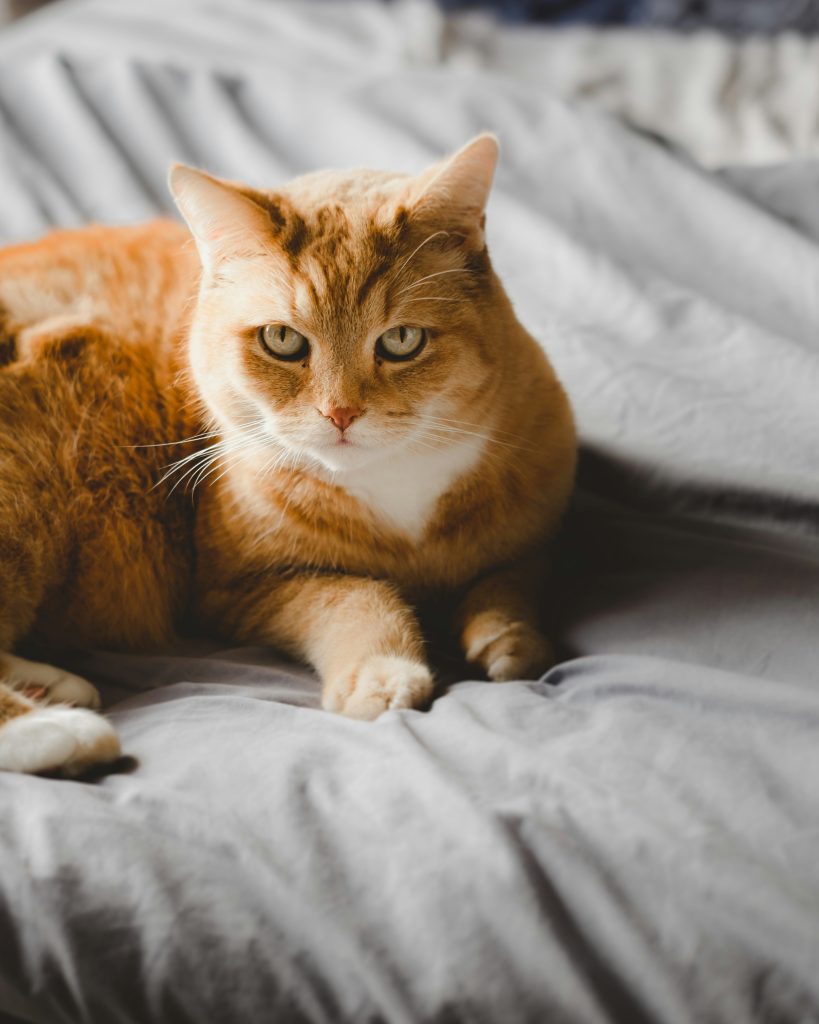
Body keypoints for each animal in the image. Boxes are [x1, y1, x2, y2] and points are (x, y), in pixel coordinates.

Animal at [0, 136, 577, 774]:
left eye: (402, 340)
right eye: (282, 340)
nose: (341, 413)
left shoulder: (539, 532)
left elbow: (513, 581)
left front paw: (510, 639)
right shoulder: (241, 591)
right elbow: (356, 595)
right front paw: (382, 674)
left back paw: (54, 685)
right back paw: (61, 728)